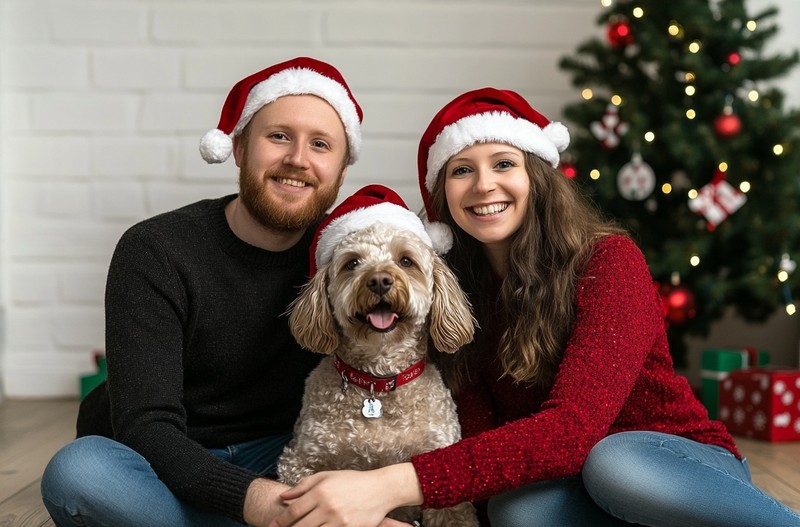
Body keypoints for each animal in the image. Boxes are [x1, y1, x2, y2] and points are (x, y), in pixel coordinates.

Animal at [278, 186, 478, 527]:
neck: (379, 380)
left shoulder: (442, 474)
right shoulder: (299, 463)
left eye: (406, 261)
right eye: (352, 263)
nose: (380, 280)